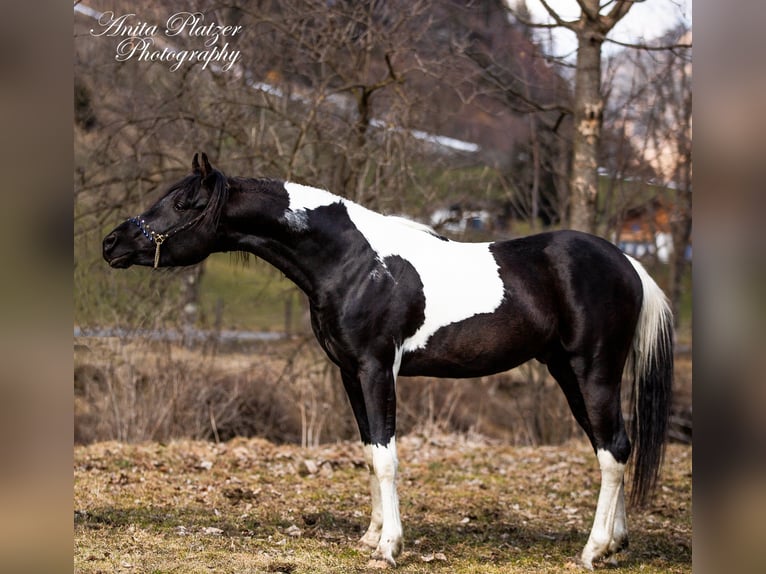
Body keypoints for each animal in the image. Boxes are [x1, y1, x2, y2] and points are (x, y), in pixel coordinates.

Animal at [103, 153, 673, 569]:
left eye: (184, 203)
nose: (112, 243)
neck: (354, 263)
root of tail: (627, 262)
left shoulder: (377, 370)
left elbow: (387, 456)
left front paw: (390, 546)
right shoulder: (349, 373)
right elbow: (368, 453)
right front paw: (371, 536)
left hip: (592, 372)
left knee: (613, 450)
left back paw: (593, 551)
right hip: (568, 373)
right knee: (613, 446)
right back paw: (616, 545)